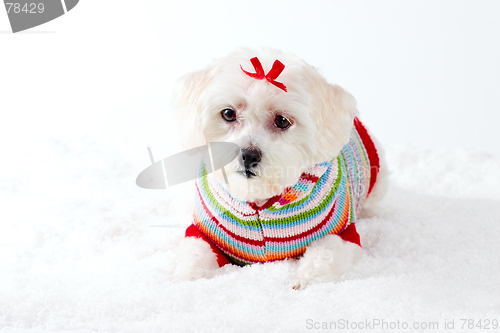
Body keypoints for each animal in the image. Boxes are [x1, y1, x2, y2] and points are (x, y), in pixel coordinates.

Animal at [171, 47, 386, 288]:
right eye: (228, 113)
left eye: (282, 120)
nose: (248, 155)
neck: (259, 201)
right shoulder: (203, 233)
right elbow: (194, 252)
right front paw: (186, 277)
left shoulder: (345, 235)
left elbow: (326, 252)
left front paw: (305, 279)